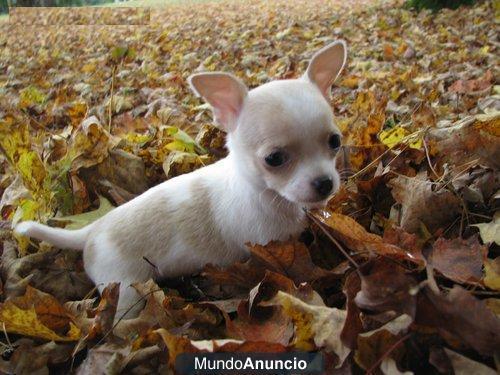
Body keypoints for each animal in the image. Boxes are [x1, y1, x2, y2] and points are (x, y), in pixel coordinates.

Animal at [13, 41, 346, 318]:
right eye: (274, 159)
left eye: (335, 141)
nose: (324, 183)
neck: (259, 191)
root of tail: (92, 231)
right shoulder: (265, 246)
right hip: (125, 288)